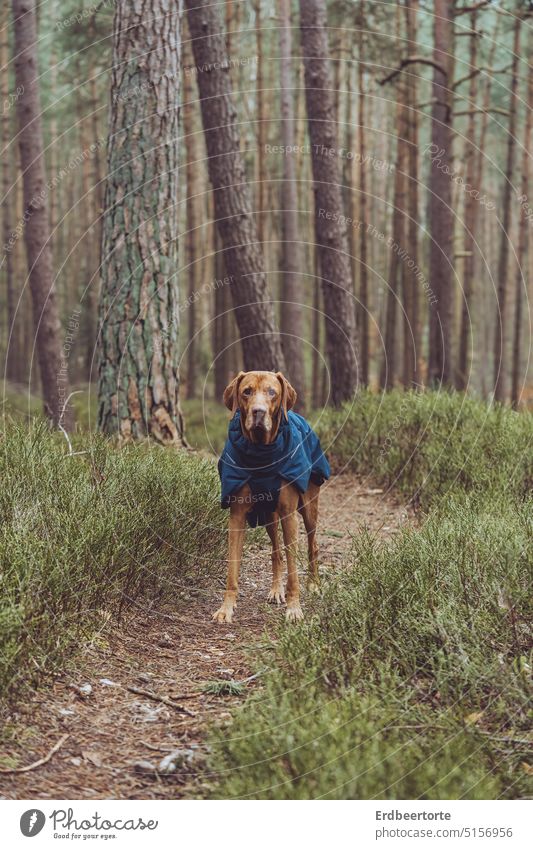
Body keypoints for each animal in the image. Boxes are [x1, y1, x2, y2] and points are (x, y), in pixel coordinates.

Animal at [215, 372, 328, 624]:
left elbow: (294, 571)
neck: (261, 454)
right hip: (268, 514)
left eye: (272, 392)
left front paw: (294, 608)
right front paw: (226, 608)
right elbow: (232, 568)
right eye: (246, 391)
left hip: (309, 506)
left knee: (312, 545)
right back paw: (276, 590)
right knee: (276, 552)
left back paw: (314, 584)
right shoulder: (237, 516)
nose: (259, 412)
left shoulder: (289, 515)